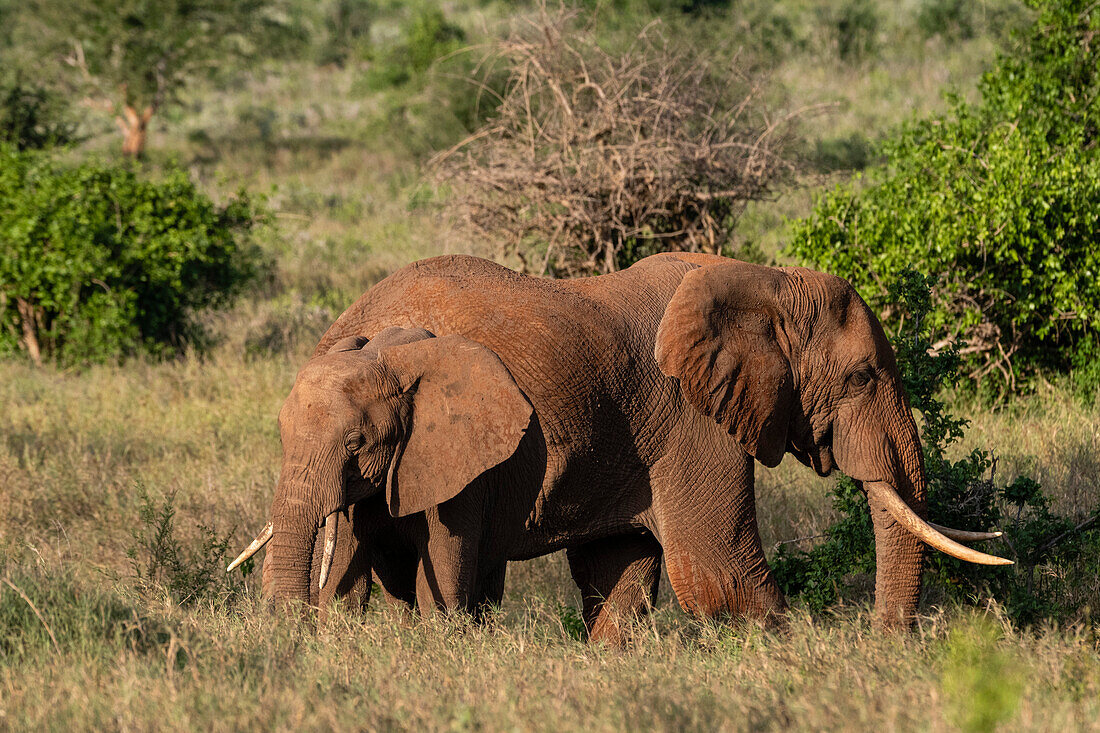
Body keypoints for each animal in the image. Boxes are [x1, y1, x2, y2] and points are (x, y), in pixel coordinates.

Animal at [227, 253, 1007, 638]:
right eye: (863, 376)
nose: (888, 643)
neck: (768, 282)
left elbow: (620, 572)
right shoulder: (691, 418)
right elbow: (718, 577)